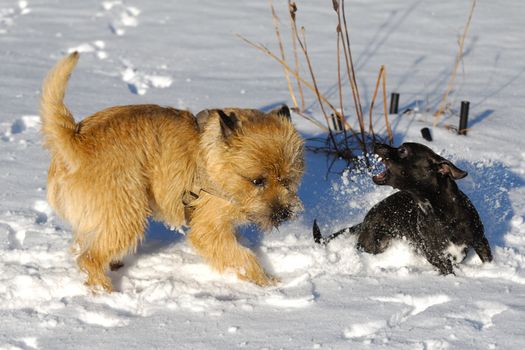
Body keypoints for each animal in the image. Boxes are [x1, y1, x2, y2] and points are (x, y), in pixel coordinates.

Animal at [41, 52, 302, 292]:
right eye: (257, 180)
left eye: (287, 180)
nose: (283, 213)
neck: (213, 160)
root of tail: (76, 140)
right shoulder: (208, 229)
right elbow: (243, 257)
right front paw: (266, 283)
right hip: (128, 214)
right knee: (88, 258)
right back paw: (106, 290)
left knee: (83, 245)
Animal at [316, 142, 492, 274]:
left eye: (403, 150)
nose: (376, 143)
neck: (441, 214)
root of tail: (364, 220)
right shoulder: (436, 257)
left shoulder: (480, 240)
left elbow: (488, 261)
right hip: (375, 243)